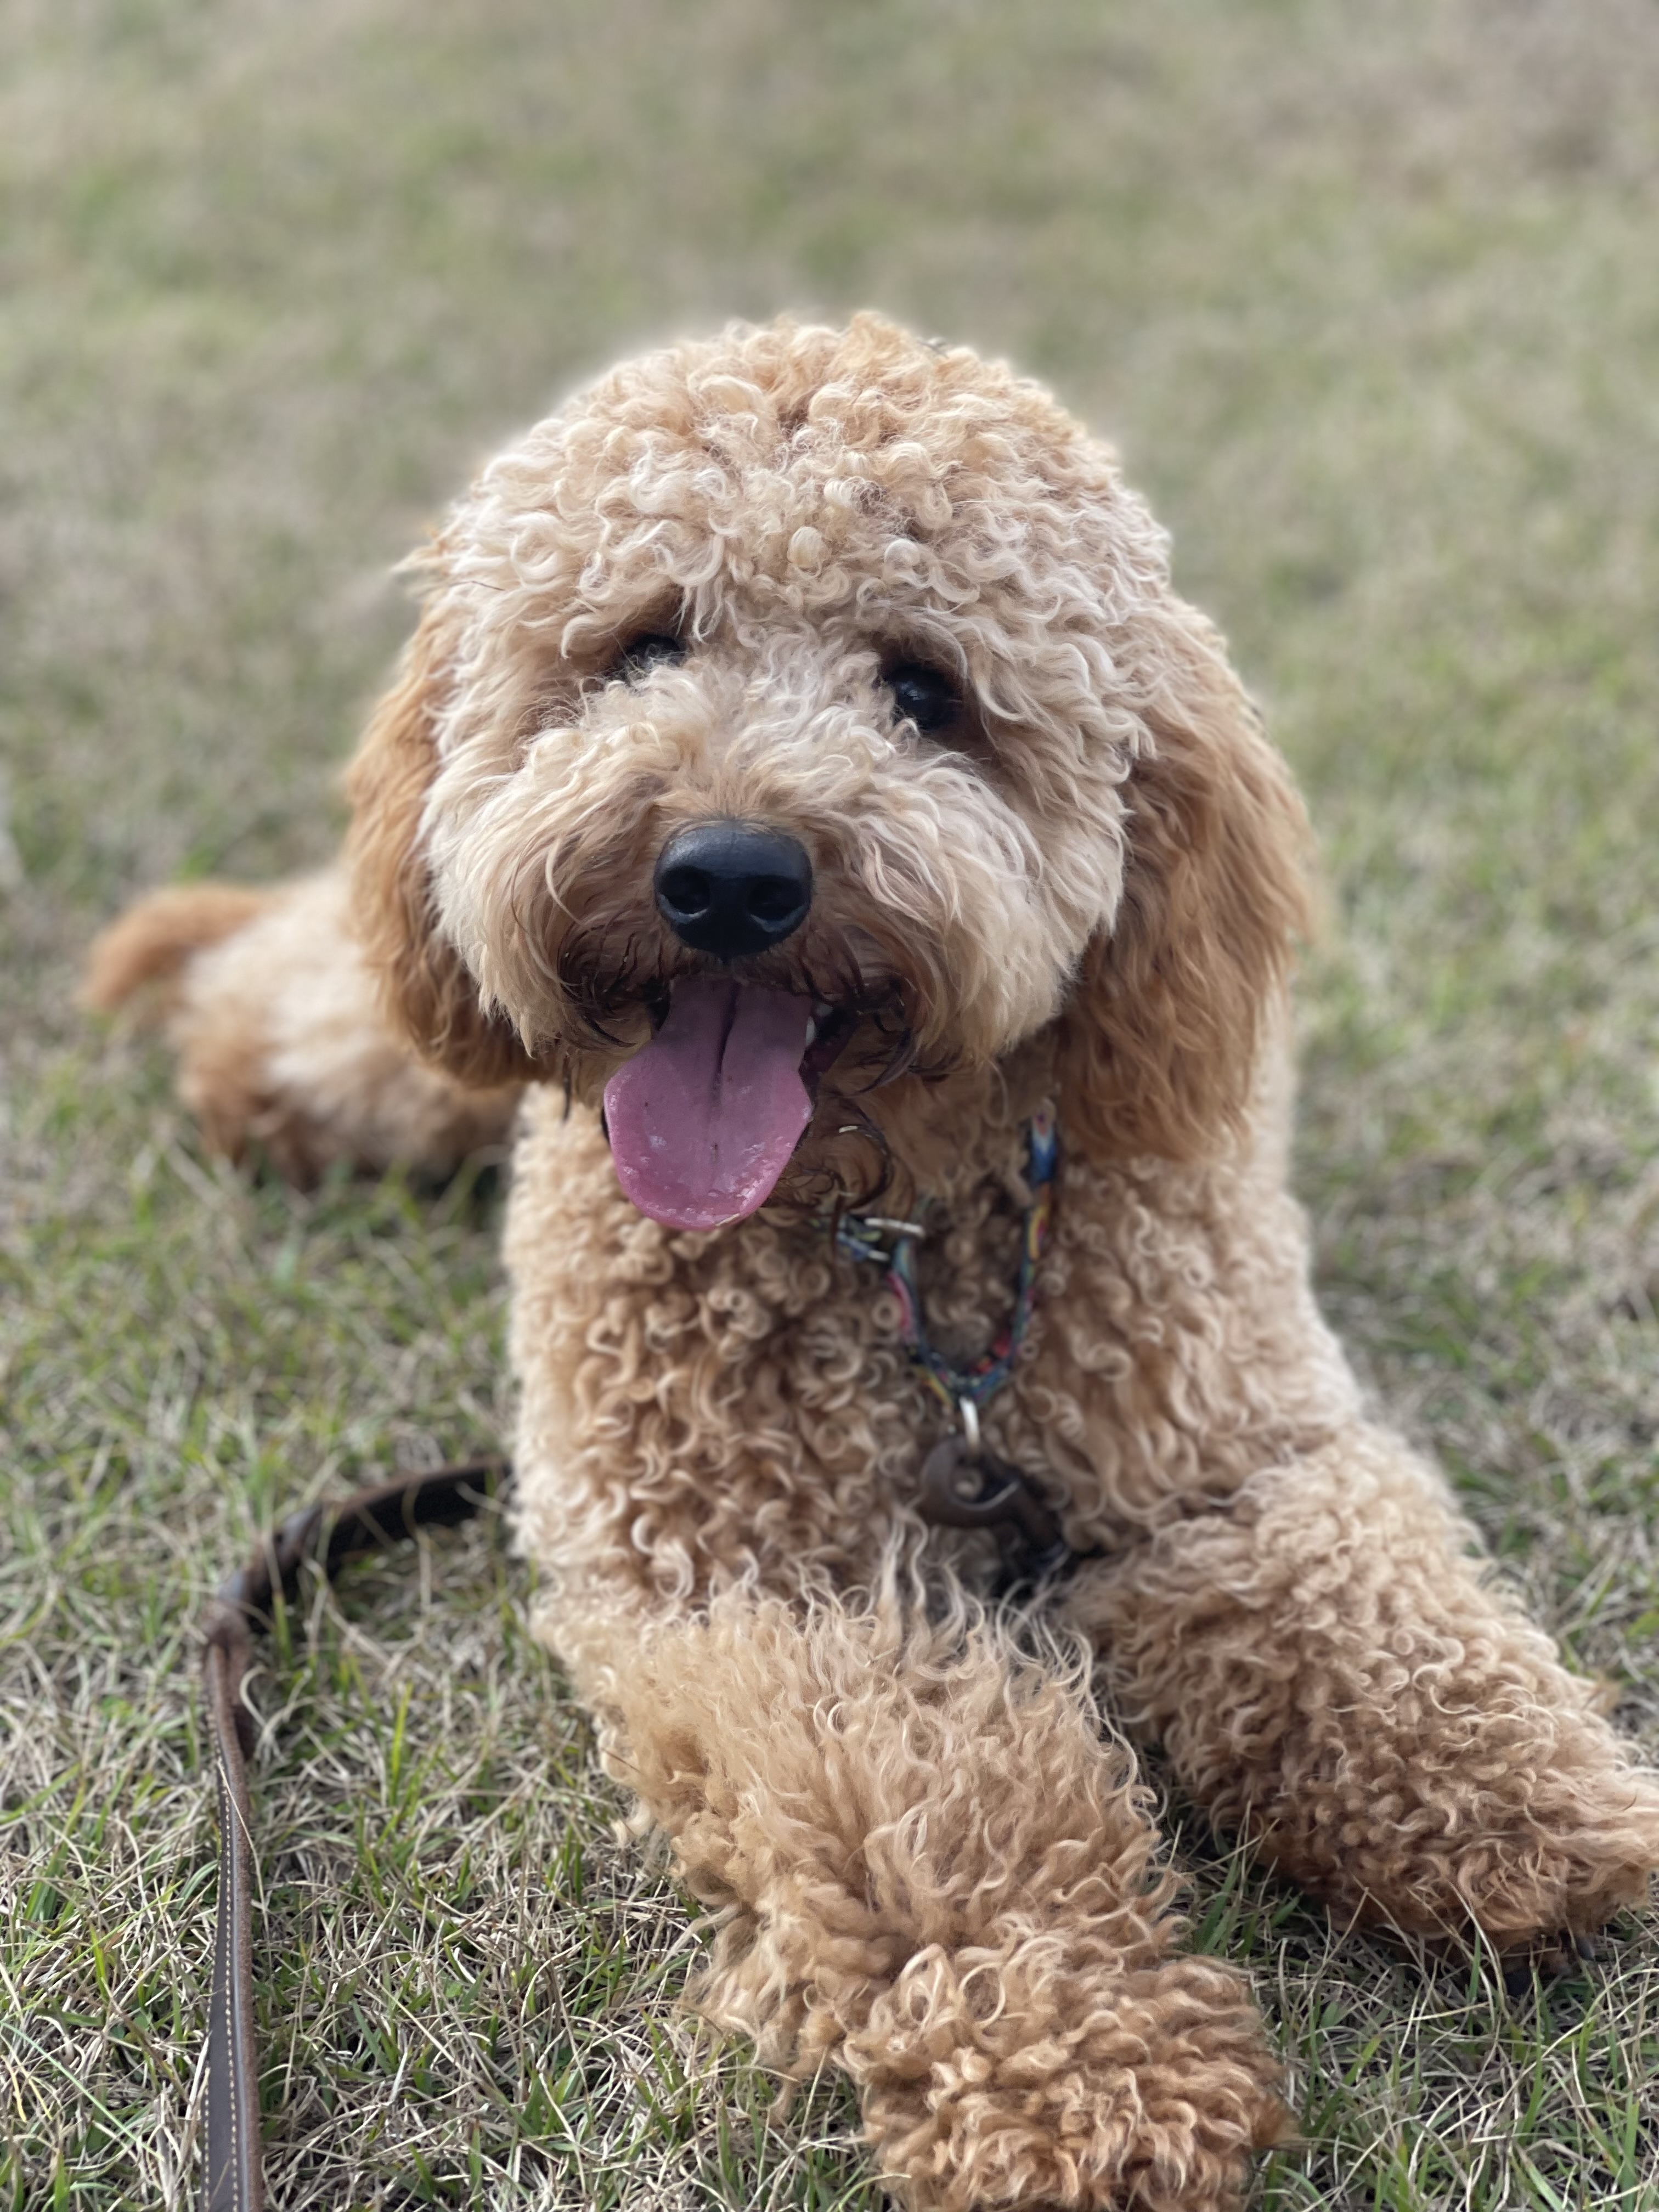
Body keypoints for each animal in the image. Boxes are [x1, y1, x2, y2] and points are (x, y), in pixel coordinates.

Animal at [88, 316, 1659, 2212]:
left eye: (926, 690)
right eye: (640, 645)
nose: (727, 874)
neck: (886, 1218)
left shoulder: (1225, 1444)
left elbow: (1358, 1609)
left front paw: (1515, 1796)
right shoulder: (754, 1579)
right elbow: (948, 1804)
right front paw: (1088, 2068)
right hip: (412, 1035)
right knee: (328, 994)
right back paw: (224, 1026)